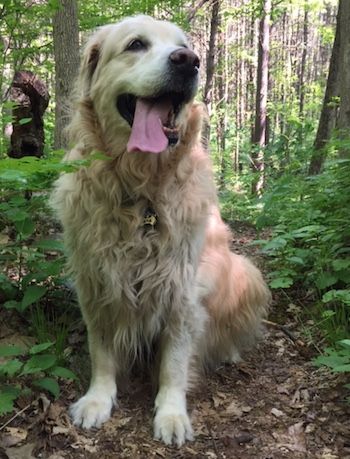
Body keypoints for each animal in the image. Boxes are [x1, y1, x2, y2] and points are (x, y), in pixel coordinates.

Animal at [50, 15, 270, 450]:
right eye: (136, 44)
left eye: (185, 45)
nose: (190, 61)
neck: (141, 191)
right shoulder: (95, 281)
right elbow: (101, 350)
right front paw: (97, 399)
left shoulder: (182, 291)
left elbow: (174, 364)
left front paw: (171, 414)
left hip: (245, 271)